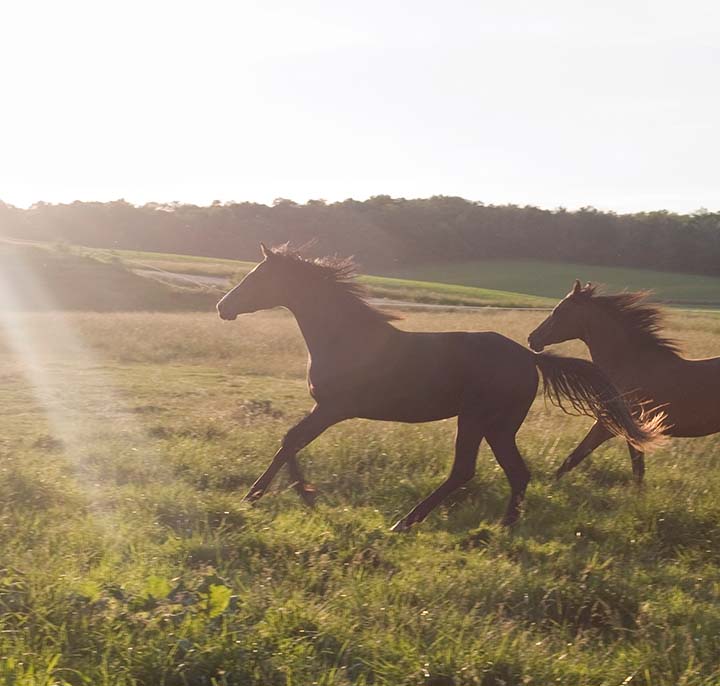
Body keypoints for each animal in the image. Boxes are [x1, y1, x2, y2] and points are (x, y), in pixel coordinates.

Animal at [217, 246, 661, 529]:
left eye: (257, 277)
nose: (223, 307)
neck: (345, 338)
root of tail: (529, 357)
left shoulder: (333, 408)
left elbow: (290, 440)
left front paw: (284, 494)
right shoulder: (327, 409)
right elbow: (290, 442)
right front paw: (280, 494)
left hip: (478, 420)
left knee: (465, 470)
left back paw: (407, 522)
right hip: (498, 427)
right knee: (516, 473)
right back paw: (504, 526)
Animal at [528, 280, 719, 482]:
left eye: (559, 311)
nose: (532, 338)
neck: (629, 365)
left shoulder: (607, 425)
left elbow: (573, 458)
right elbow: (638, 470)